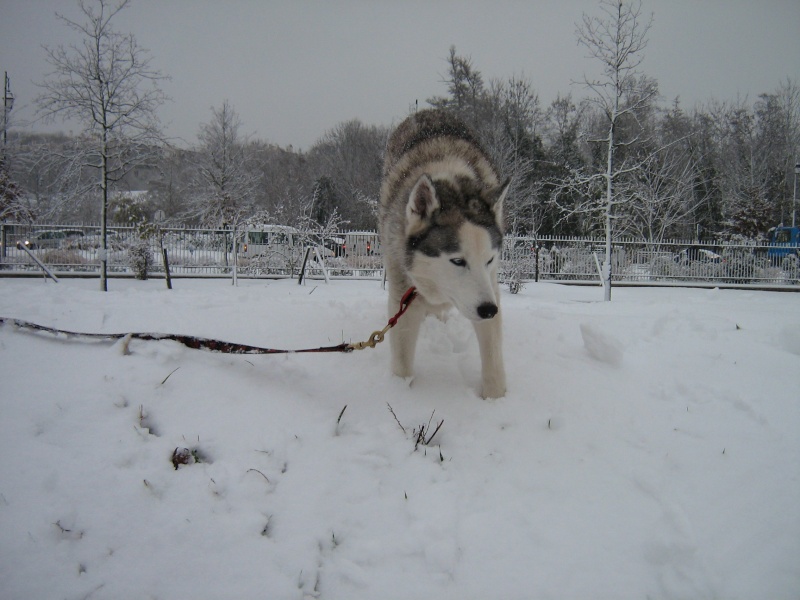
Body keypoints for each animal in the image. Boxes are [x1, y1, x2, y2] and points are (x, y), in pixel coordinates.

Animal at [380, 109, 506, 398]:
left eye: (489, 260)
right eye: (457, 260)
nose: (488, 310)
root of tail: (428, 111)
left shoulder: (490, 287)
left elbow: (493, 360)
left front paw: (497, 401)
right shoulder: (403, 298)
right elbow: (402, 362)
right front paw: (400, 394)